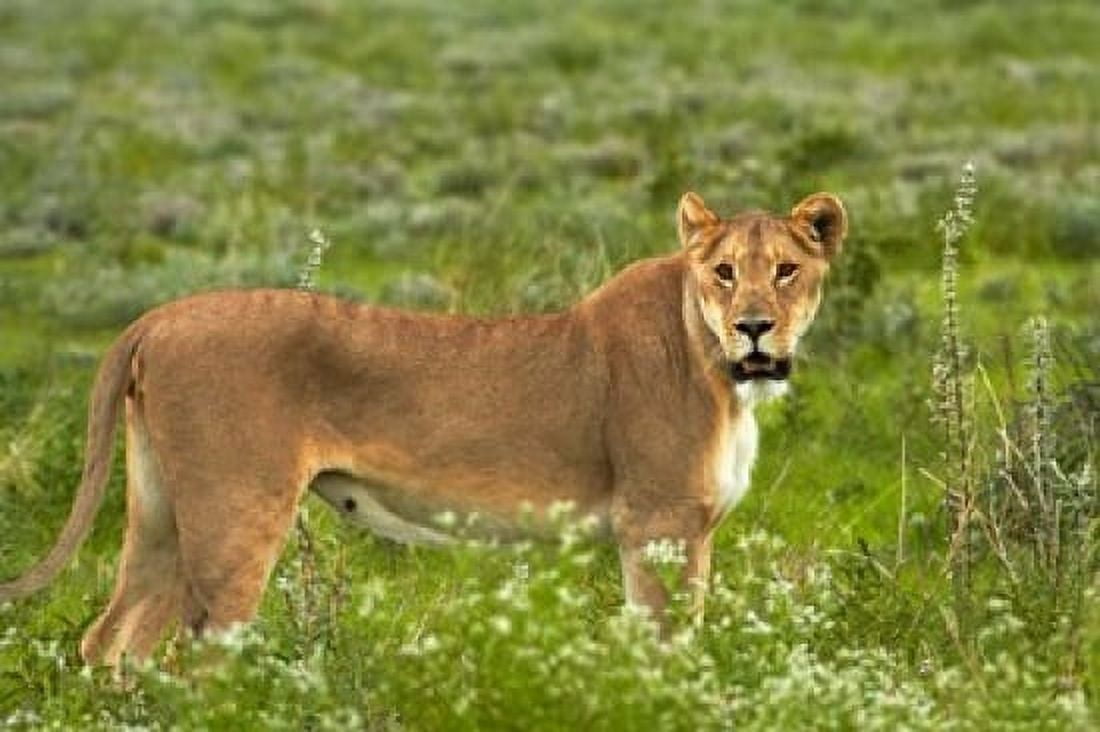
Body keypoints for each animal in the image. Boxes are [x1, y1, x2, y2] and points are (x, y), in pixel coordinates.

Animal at [0, 191, 846, 666]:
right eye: (724, 272)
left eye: (786, 270)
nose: (755, 329)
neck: (719, 372)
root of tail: (158, 315)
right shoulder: (659, 525)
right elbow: (670, 650)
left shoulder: (677, 530)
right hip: (234, 513)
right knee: (194, 657)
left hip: (162, 515)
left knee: (114, 641)